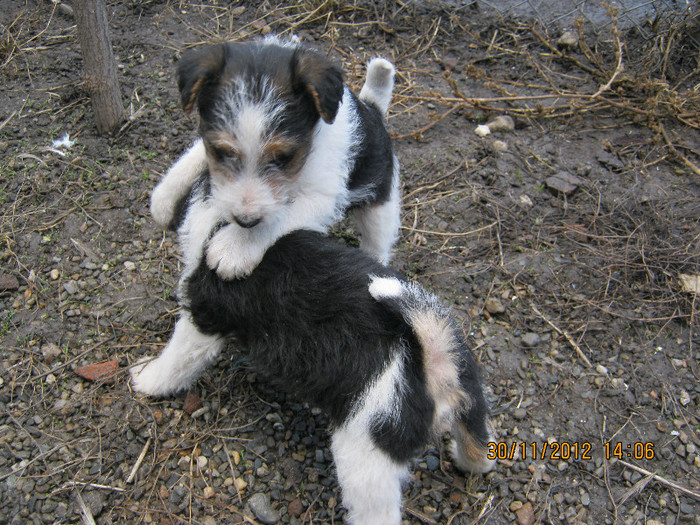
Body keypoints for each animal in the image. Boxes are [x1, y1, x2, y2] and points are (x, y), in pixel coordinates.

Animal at [152, 37, 400, 280]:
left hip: (379, 207)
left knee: (378, 242)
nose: (245, 221)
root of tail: (372, 106)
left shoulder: (321, 196)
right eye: (222, 152)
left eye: (283, 157)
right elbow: (194, 155)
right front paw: (163, 199)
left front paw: (234, 247)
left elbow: (279, 214)